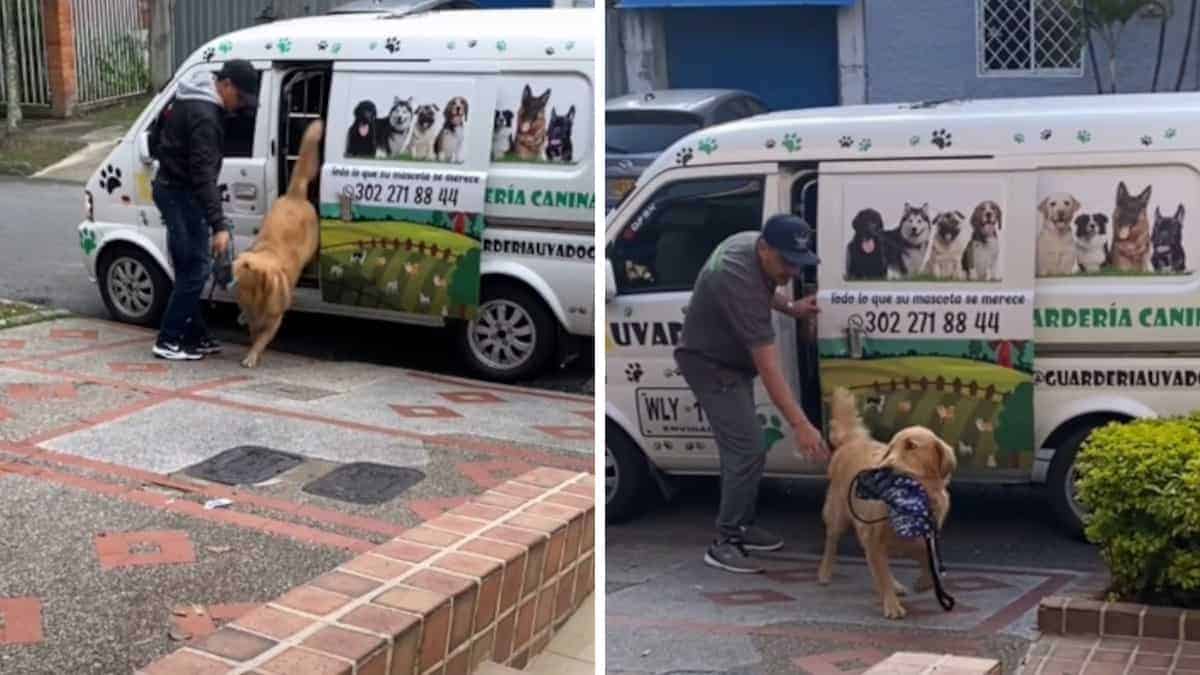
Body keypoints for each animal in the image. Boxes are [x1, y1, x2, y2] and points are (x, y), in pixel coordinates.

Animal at [228, 118, 324, 365]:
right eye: (237, 260)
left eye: (245, 265)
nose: (223, 268)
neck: (255, 296)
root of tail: (295, 194)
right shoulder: (255, 318)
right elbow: (254, 333)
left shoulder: (274, 320)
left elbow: (262, 338)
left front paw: (253, 355)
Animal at [816, 386, 955, 619]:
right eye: (890, 449)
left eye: (911, 446)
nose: (885, 467)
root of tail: (852, 441)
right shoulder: (875, 539)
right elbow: (881, 573)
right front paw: (891, 605)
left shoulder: (920, 540)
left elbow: (927, 563)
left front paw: (924, 582)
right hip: (838, 516)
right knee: (831, 543)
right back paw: (825, 572)